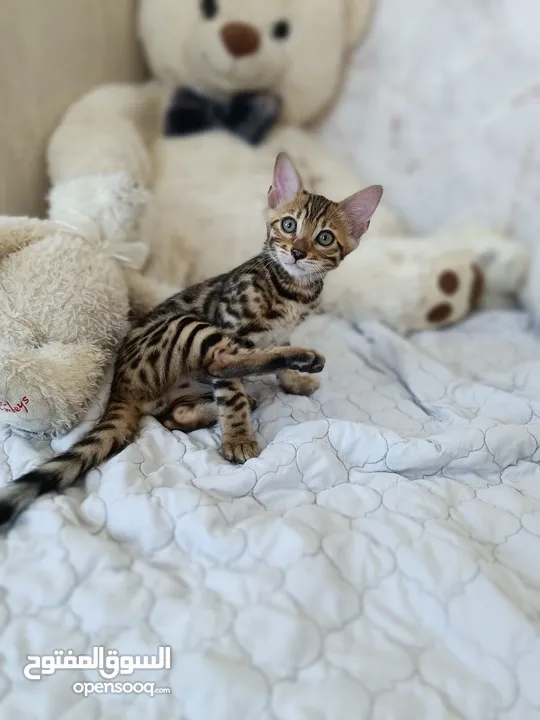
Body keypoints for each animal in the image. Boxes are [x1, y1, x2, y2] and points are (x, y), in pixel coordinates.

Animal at [1, 153, 384, 524]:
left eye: (324, 238)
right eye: (289, 225)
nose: (298, 252)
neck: (292, 290)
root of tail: (119, 385)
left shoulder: (284, 329)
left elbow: (274, 350)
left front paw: (292, 380)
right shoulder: (231, 324)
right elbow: (232, 394)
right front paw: (239, 438)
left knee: (175, 416)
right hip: (185, 327)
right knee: (222, 364)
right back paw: (301, 360)